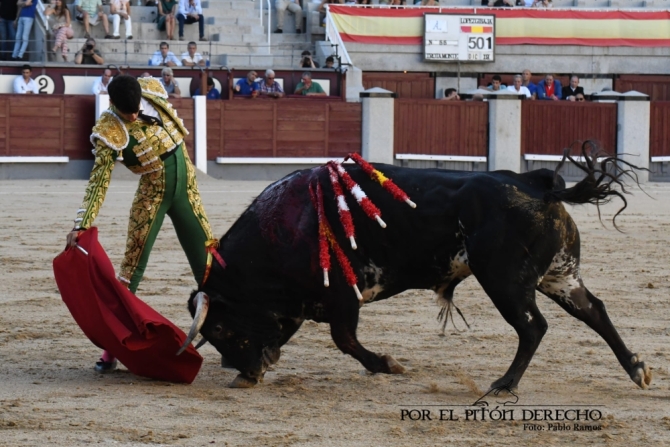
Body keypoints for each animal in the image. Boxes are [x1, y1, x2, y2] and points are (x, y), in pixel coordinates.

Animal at [181, 149, 652, 390]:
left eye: (218, 328)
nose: (244, 373)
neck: (284, 228)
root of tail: (533, 183)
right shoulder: (305, 301)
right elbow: (293, 331)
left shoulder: (342, 296)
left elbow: (344, 339)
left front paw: (387, 365)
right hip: (559, 274)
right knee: (595, 311)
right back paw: (636, 368)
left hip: (504, 281)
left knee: (533, 327)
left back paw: (504, 384)